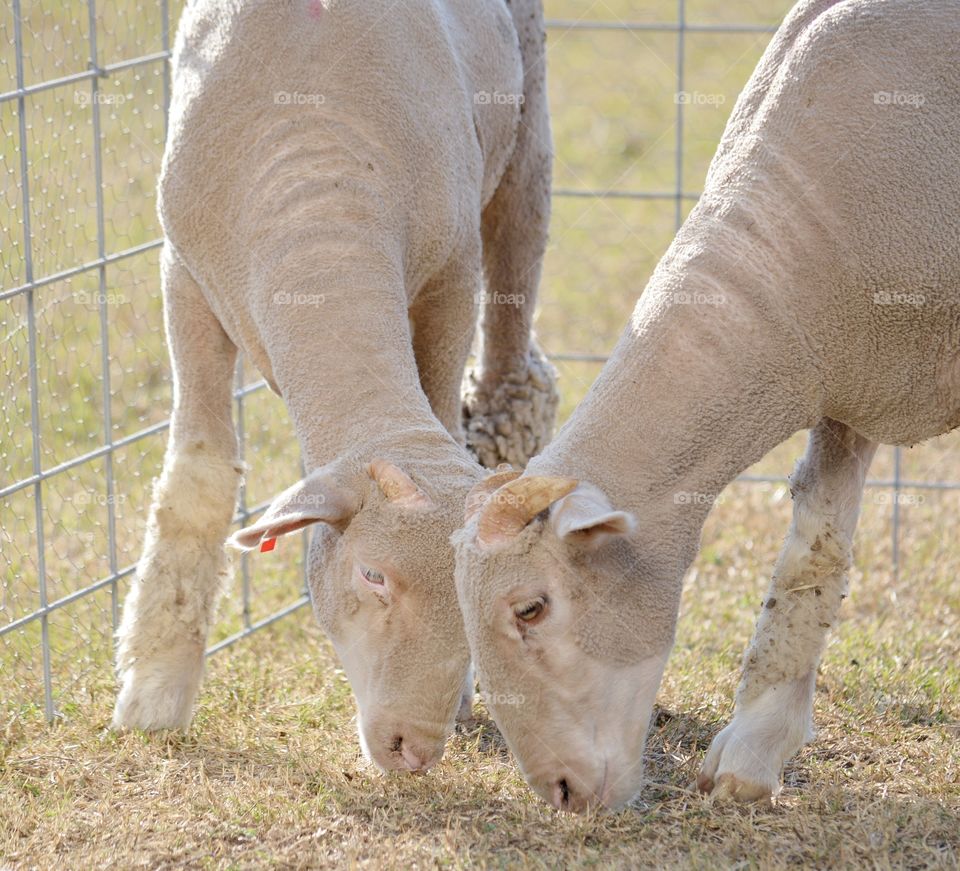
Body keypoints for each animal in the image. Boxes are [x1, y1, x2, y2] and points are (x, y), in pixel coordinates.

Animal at [112, 0, 557, 774]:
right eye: (372, 576)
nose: (412, 748)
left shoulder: (450, 275)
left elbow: (446, 415)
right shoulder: (186, 274)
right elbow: (197, 477)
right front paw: (155, 689)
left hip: (523, 151)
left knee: (513, 383)